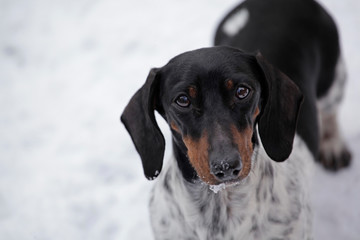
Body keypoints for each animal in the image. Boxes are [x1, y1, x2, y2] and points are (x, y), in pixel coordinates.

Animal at [122, 0, 350, 238]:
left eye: (242, 91)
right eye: (182, 100)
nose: (226, 166)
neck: (221, 202)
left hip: (333, 80)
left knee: (330, 112)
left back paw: (333, 145)